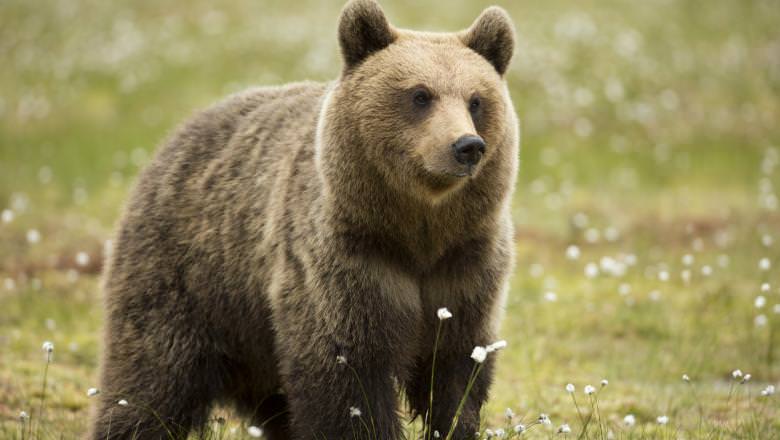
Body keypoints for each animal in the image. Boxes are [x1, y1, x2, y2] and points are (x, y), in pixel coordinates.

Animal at [90, 1, 516, 438]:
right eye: (420, 95)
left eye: (476, 100)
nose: (467, 146)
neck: (416, 231)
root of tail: (174, 137)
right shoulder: (345, 264)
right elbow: (347, 374)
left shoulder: (465, 267)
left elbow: (456, 371)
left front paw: (455, 420)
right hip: (187, 278)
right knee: (152, 376)